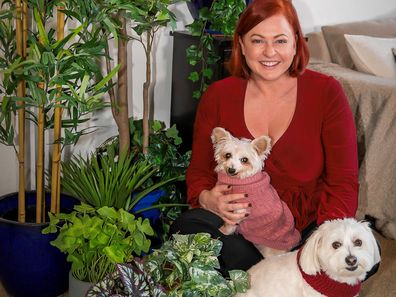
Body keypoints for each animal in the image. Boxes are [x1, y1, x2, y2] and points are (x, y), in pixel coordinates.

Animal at [210, 127, 300, 256]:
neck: (241, 180)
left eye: (244, 160)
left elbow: (230, 224)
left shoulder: (240, 210)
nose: (231, 170)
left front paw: (223, 231)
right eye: (227, 155)